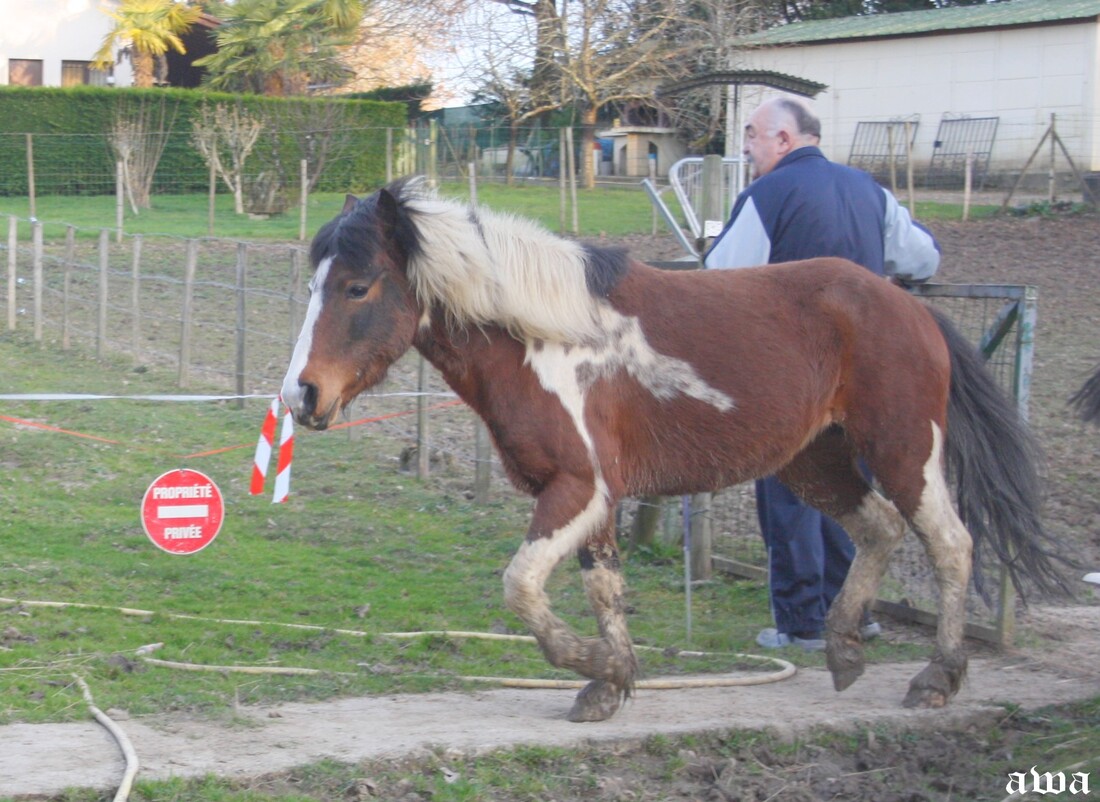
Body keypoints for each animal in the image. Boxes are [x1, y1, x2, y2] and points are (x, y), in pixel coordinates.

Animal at [277, 178, 1064, 721]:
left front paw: (591, 665)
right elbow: (604, 587)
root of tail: (910, 306)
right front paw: (611, 682)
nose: (301, 395)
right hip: (814, 461)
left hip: (904, 451)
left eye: (357, 286)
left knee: (950, 545)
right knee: (878, 528)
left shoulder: (578, 488)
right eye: (311, 286)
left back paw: (937, 678)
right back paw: (844, 650)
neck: (544, 338)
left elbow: (521, 585)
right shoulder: (588, 497)